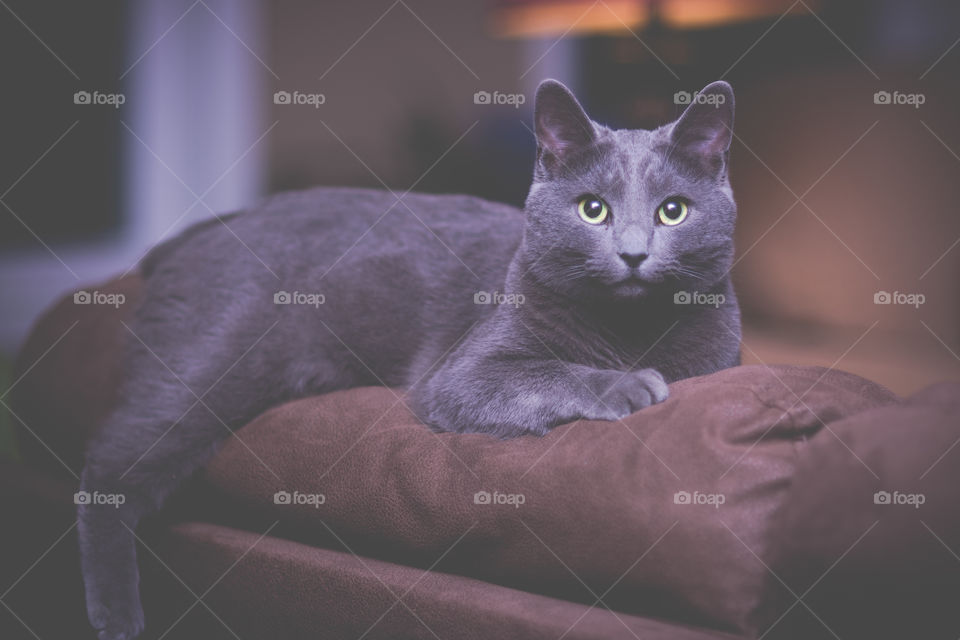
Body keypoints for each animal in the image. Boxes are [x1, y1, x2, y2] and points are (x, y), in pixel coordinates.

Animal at [79, 80, 740, 640]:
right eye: (592, 209)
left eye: (673, 211)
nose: (633, 254)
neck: (630, 331)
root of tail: (211, 226)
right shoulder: (464, 373)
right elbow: (544, 371)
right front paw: (630, 385)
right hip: (212, 361)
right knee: (109, 472)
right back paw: (116, 616)